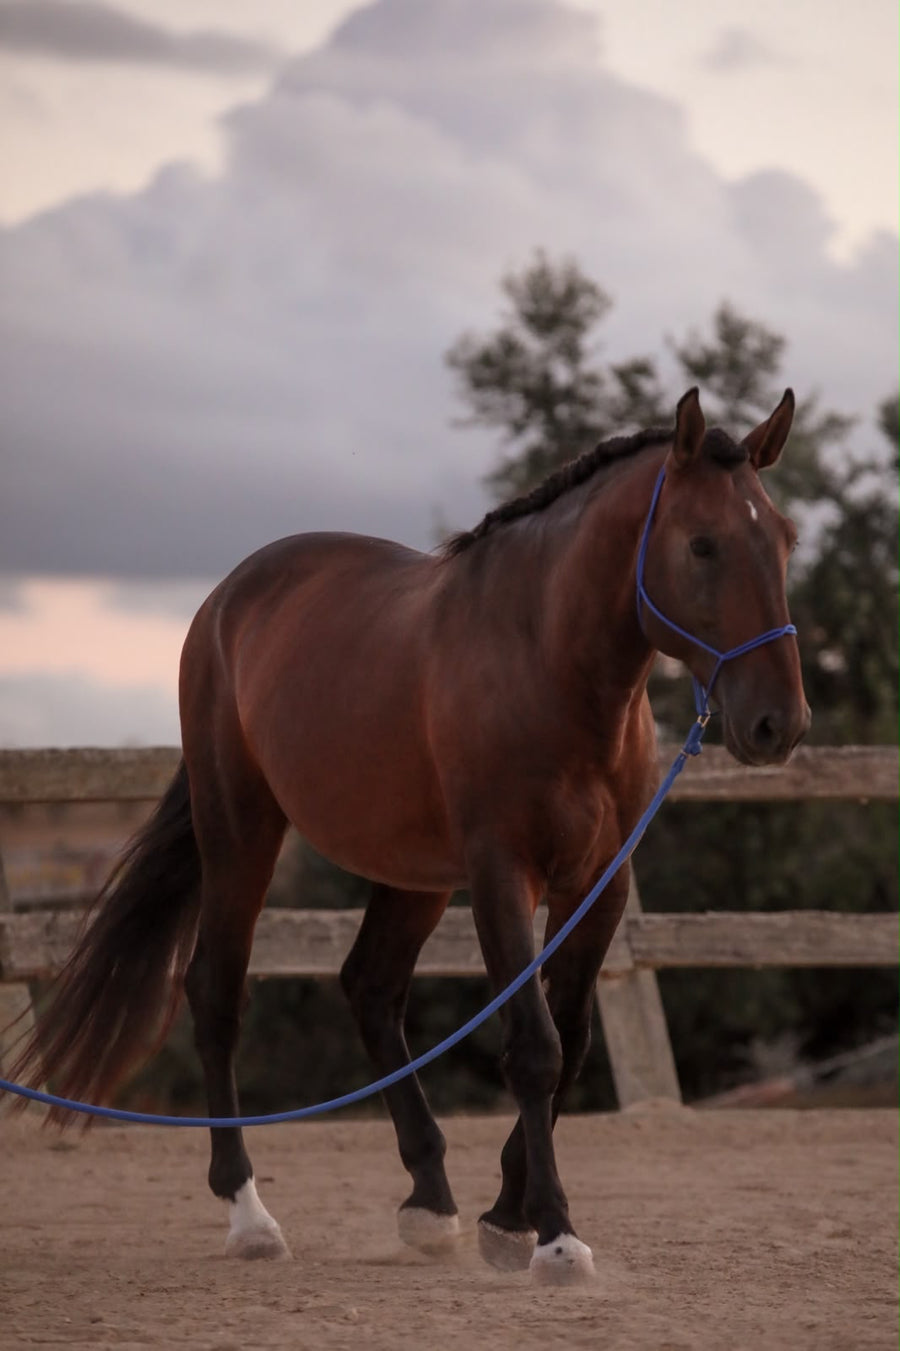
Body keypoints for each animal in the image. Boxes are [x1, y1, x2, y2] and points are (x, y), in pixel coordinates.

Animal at [10, 387, 809, 1284]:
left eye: (784, 539)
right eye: (703, 543)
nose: (779, 722)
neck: (545, 665)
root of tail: (227, 599)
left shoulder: (602, 881)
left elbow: (569, 1038)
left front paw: (506, 1215)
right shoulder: (502, 873)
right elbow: (533, 1043)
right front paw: (554, 1234)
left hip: (412, 873)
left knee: (370, 986)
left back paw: (430, 1198)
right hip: (242, 831)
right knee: (217, 991)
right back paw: (250, 1215)